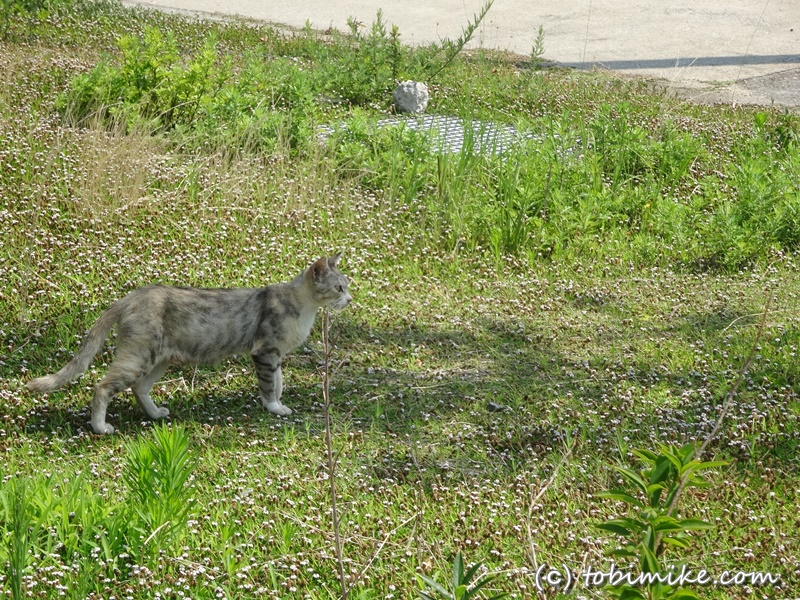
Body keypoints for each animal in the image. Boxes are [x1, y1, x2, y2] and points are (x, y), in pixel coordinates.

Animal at [25, 251, 350, 434]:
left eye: (347, 286)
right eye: (338, 288)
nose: (350, 299)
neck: (304, 307)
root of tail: (130, 296)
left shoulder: (276, 355)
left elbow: (280, 382)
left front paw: (280, 403)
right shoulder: (265, 352)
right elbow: (270, 386)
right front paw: (274, 408)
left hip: (159, 358)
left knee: (139, 388)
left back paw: (155, 414)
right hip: (139, 355)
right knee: (102, 387)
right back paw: (100, 427)